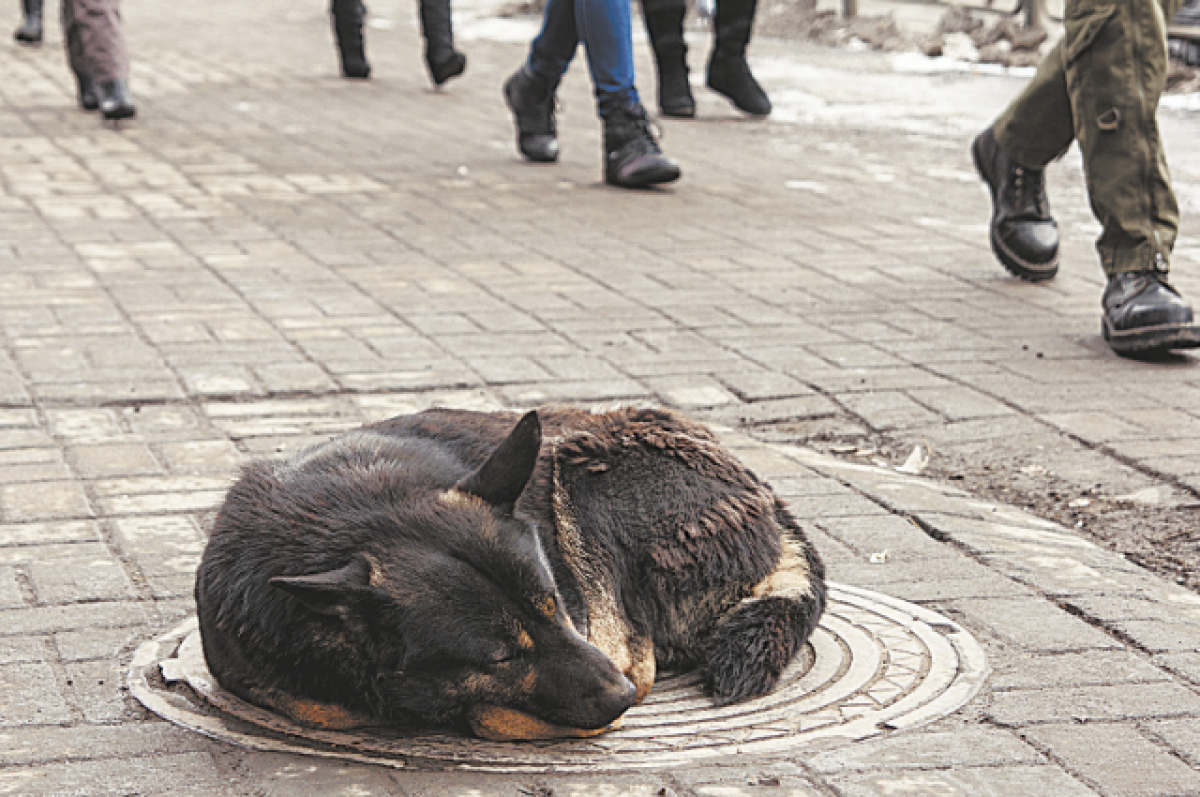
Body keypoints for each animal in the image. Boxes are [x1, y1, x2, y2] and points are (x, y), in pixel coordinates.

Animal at [196, 408, 825, 744]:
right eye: (500, 656)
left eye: (555, 605)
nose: (621, 703)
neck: (356, 517)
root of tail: (767, 495)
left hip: (584, 468)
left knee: (636, 661)